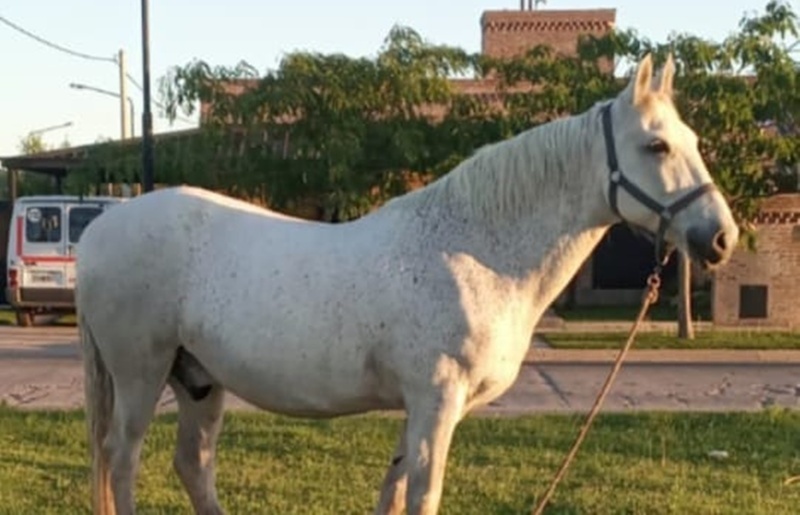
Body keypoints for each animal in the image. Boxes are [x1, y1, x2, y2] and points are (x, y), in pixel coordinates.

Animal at [76, 53, 739, 515]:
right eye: (656, 144)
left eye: (694, 141)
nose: (721, 238)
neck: (473, 250)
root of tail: (99, 230)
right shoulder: (437, 401)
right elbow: (422, 495)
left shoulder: (421, 408)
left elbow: (393, 492)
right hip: (140, 374)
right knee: (122, 459)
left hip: (198, 379)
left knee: (192, 465)